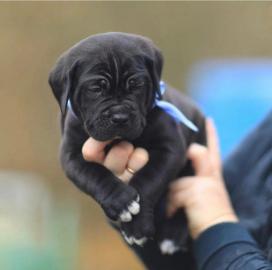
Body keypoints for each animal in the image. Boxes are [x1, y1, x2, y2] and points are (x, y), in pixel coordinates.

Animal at [49, 32, 206, 254]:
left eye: (136, 84)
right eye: (96, 88)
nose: (120, 117)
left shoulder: (170, 149)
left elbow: (149, 179)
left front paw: (137, 226)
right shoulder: (72, 155)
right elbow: (94, 175)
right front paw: (121, 201)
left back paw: (173, 234)